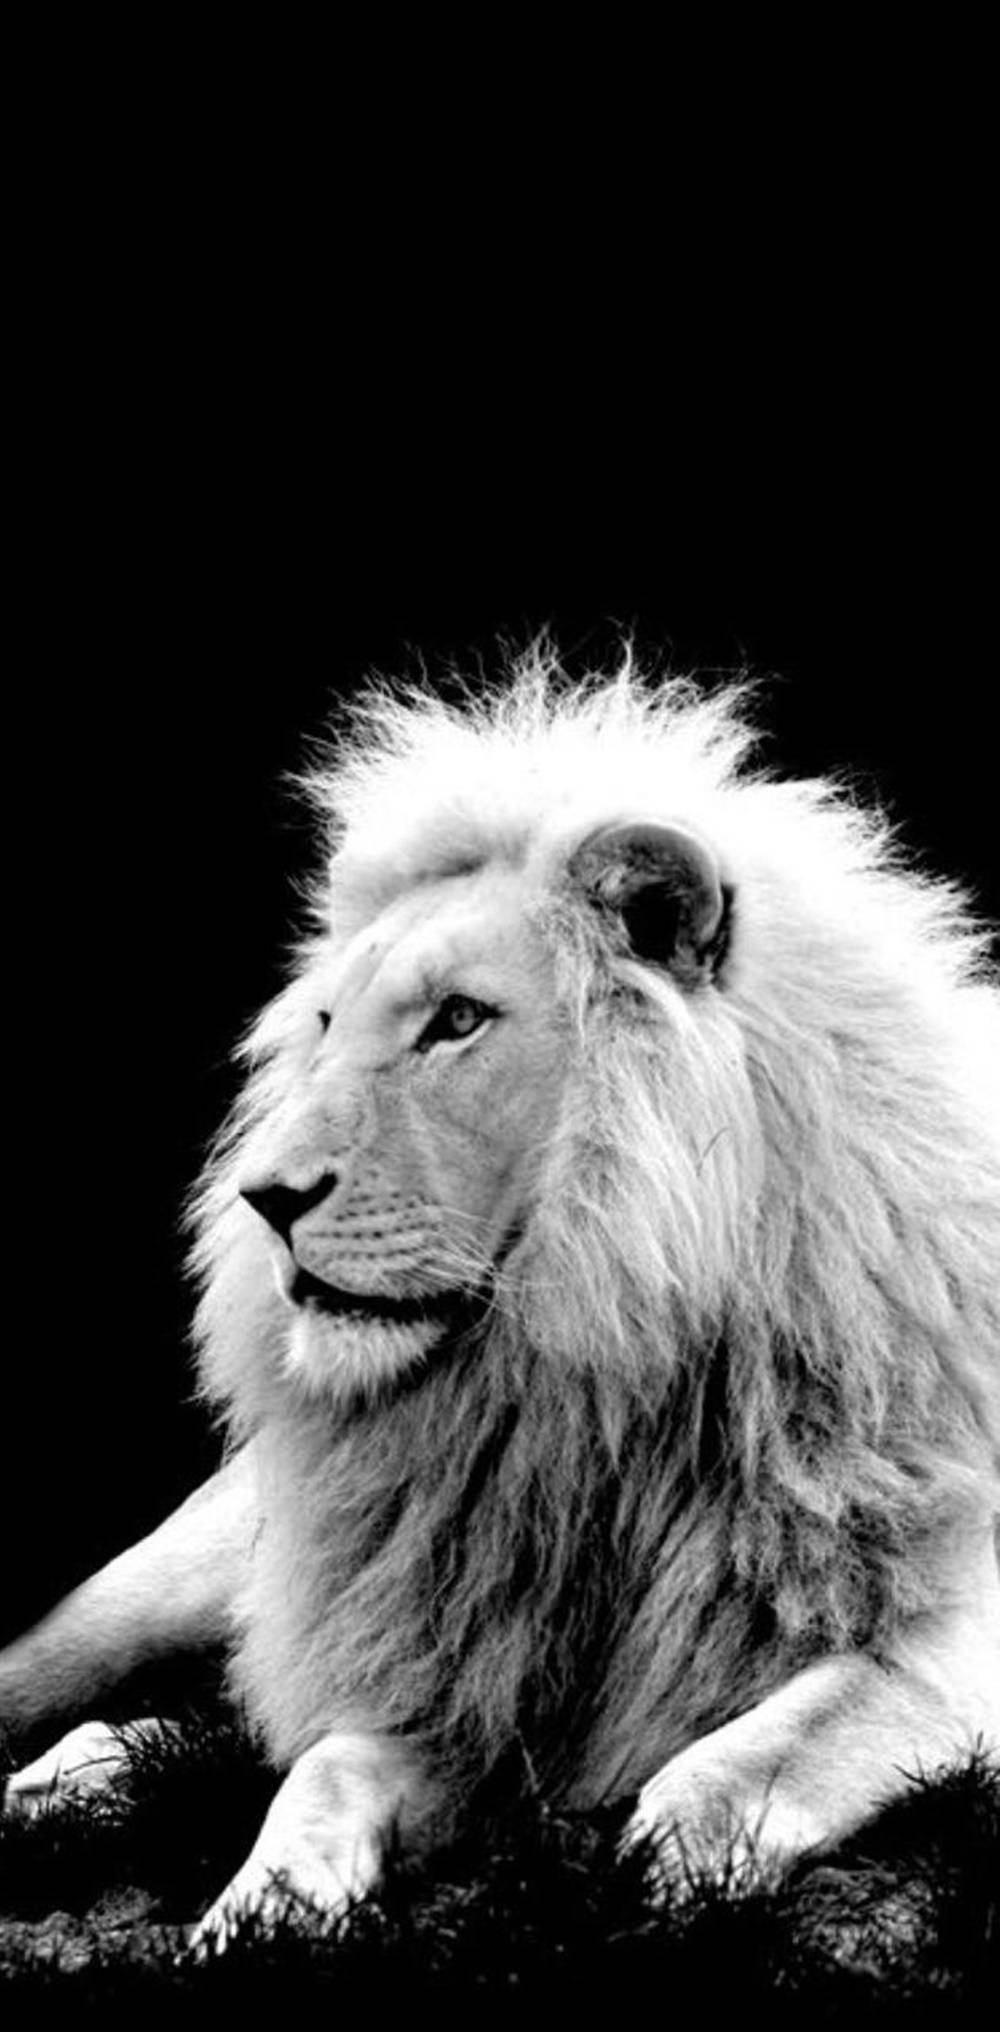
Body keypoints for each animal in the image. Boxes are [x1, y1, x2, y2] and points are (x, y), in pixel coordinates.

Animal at [2, 646, 998, 1950]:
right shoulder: (451, 1664)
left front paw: (669, 1862)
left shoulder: (942, 1630)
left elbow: (773, 1739)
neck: (588, 1389)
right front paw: (261, 1911)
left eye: (458, 1021)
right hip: (170, 1579)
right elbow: (325, 1766)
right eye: (328, 1023)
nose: (264, 1196)